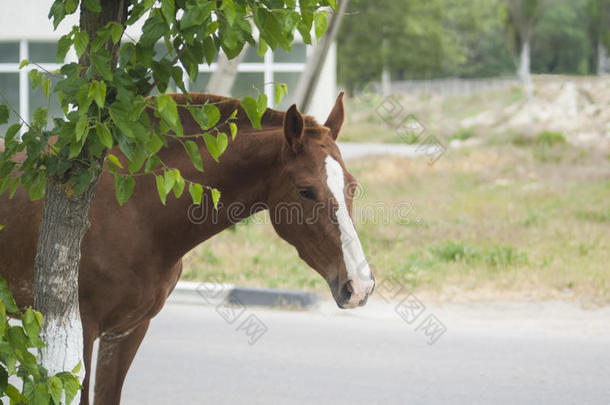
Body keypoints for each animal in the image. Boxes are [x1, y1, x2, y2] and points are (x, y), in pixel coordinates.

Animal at [0, 93, 372, 402]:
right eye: (306, 190)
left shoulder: (126, 332)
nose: (359, 286)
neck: (136, 208)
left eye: (352, 186)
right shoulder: (82, 330)